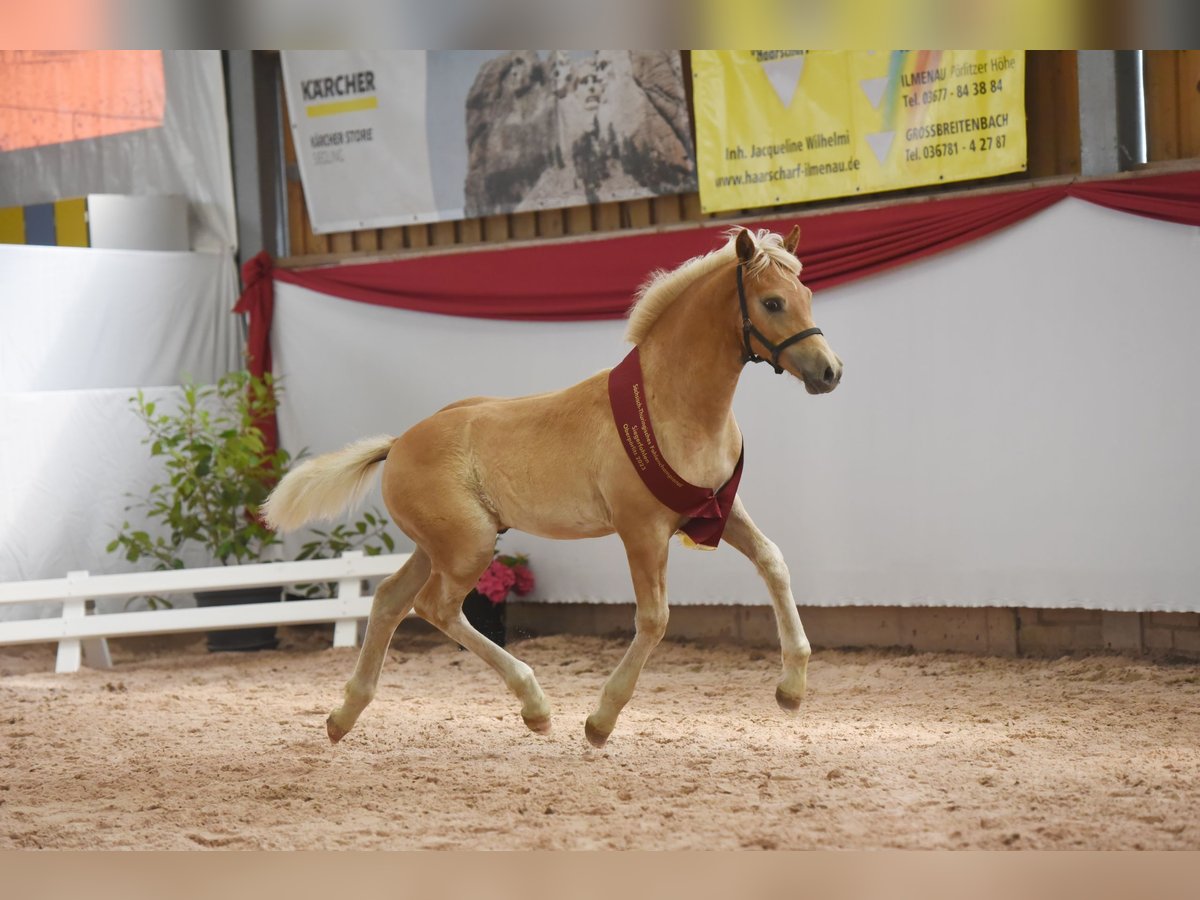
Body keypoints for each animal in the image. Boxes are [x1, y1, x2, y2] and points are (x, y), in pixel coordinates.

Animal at [265, 225, 844, 748]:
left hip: (439, 546)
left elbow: (772, 561)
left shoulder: (719, 508)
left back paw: (342, 717)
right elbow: (654, 619)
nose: (830, 372)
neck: (674, 407)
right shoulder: (642, 530)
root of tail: (399, 442)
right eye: (772, 302)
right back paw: (535, 707)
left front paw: (791, 690)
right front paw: (600, 722)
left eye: (807, 296)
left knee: (389, 600)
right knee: (437, 608)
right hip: (468, 547)